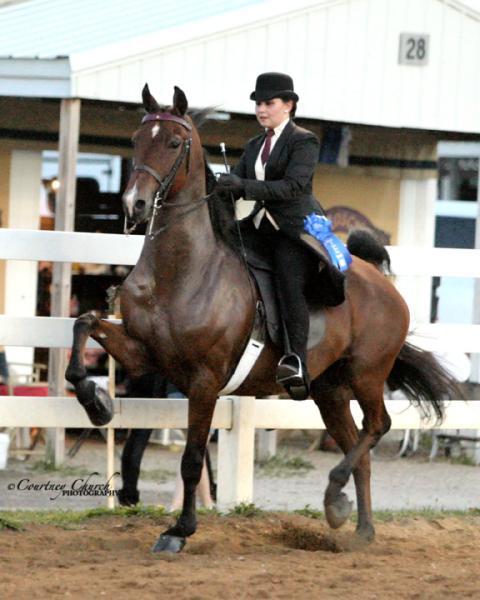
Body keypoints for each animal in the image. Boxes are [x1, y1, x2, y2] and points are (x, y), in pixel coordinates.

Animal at [64, 84, 458, 552]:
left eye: (175, 143)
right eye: (136, 140)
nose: (134, 205)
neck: (180, 270)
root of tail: (383, 282)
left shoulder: (204, 381)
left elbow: (192, 459)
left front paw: (179, 531)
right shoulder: (144, 357)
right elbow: (83, 327)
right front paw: (98, 405)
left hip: (366, 374)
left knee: (377, 426)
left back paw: (335, 495)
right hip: (330, 389)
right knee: (357, 446)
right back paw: (357, 526)